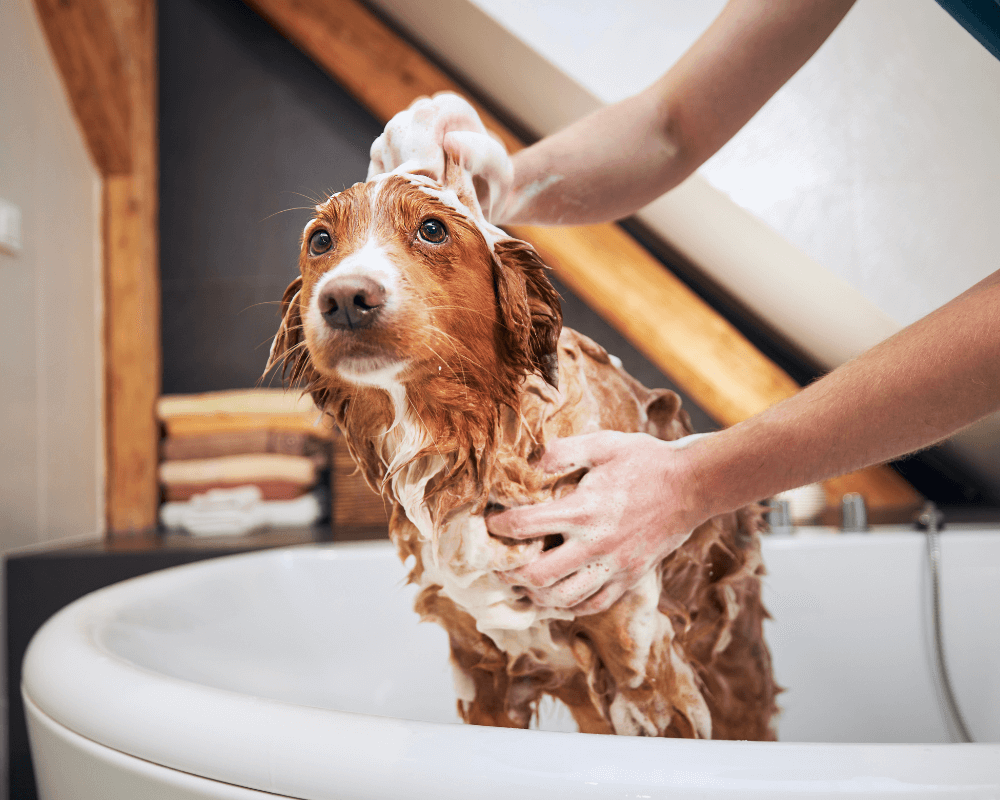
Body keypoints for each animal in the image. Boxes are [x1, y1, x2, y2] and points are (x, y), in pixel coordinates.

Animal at [268, 148, 780, 736]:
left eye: (432, 229)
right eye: (320, 241)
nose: (346, 298)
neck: (470, 446)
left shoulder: (642, 664)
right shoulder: (482, 669)